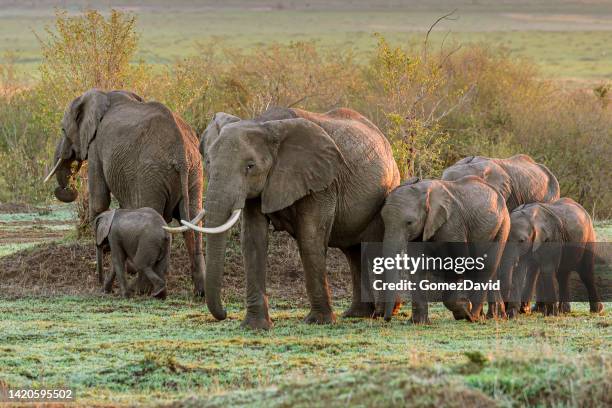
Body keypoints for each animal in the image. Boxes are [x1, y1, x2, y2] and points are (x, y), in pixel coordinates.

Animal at [44, 88, 206, 296]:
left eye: (63, 130)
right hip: (195, 172)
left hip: (150, 175)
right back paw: (200, 292)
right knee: (194, 220)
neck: (102, 94)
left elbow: (99, 201)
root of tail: (181, 155)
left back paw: (141, 290)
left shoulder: (96, 146)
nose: (65, 187)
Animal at [180, 107, 402, 330]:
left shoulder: (321, 181)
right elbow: (253, 240)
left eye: (250, 166)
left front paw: (318, 321)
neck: (264, 124)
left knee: (373, 247)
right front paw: (255, 326)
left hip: (387, 191)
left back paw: (386, 312)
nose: (225, 313)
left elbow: (310, 238)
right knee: (353, 252)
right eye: (208, 162)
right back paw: (357, 314)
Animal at [380, 177, 510, 324]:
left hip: (503, 224)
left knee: (488, 266)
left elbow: (459, 261)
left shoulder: (452, 224)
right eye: (383, 220)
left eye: (409, 223)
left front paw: (464, 308)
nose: (387, 319)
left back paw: (473, 316)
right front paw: (419, 323)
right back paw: (493, 316)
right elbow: (416, 266)